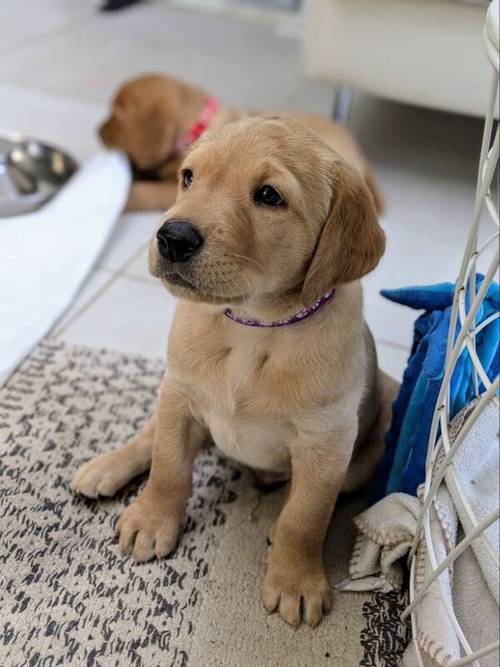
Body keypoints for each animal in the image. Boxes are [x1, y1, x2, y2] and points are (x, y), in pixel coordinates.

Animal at [73, 116, 394, 632]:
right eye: (188, 177)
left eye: (268, 195)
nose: (171, 237)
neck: (252, 326)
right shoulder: (180, 399)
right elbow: (168, 467)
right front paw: (152, 520)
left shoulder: (327, 442)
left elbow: (306, 516)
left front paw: (296, 580)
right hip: (169, 393)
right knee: (149, 438)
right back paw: (106, 467)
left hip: (386, 404)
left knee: (322, 490)